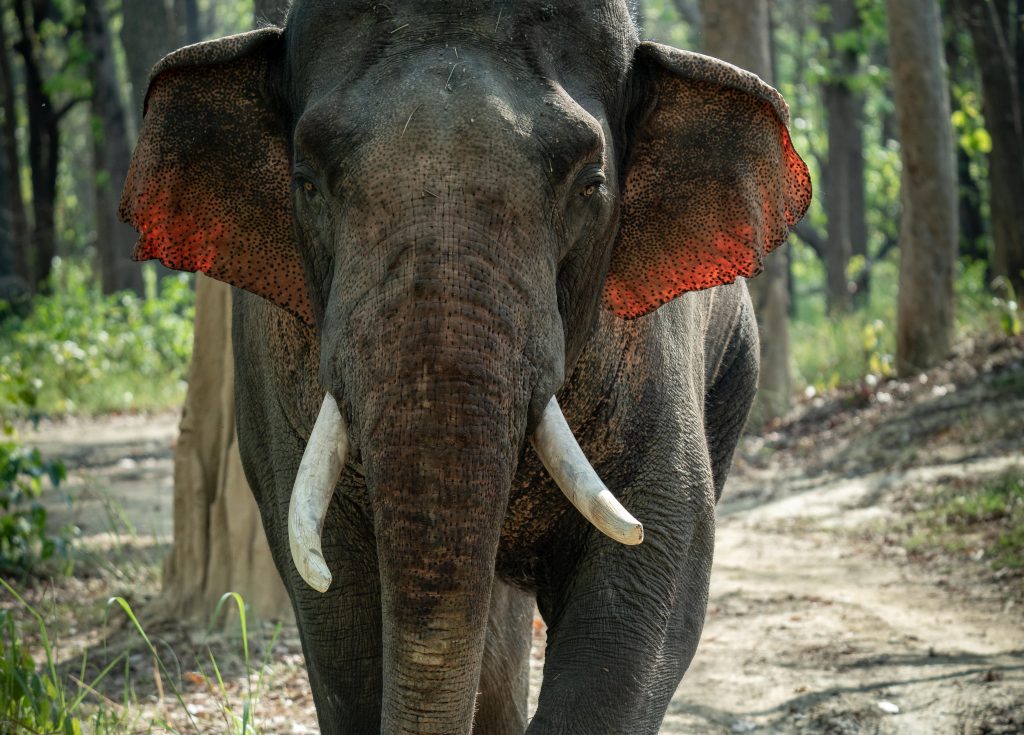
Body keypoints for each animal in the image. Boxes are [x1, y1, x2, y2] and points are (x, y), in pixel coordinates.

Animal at [119, 1, 811, 732]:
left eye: (590, 185)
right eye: (305, 183)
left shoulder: (655, 359)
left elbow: (654, 564)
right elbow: (337, 607)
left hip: (734, 368)